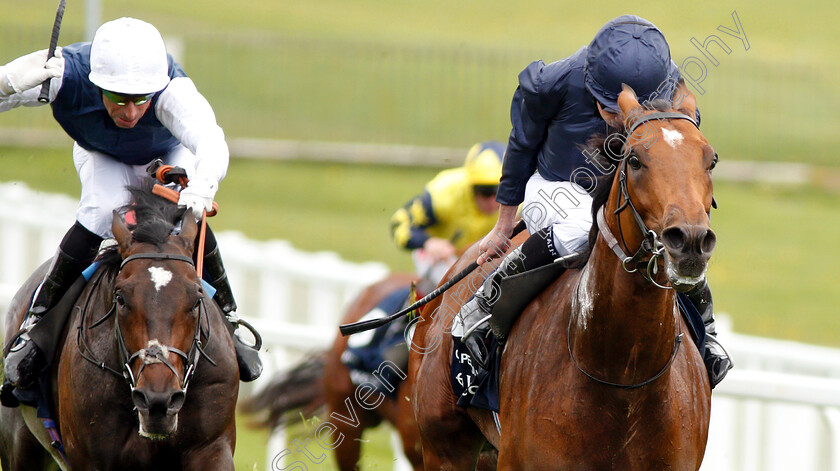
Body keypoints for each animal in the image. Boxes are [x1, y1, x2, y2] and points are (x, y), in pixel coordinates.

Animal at [0, 183, 240, 471]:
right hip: (21, 448)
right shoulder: (90, 457)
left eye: (196, 299)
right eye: (121, 298)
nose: (157, 400)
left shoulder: (212, 447)